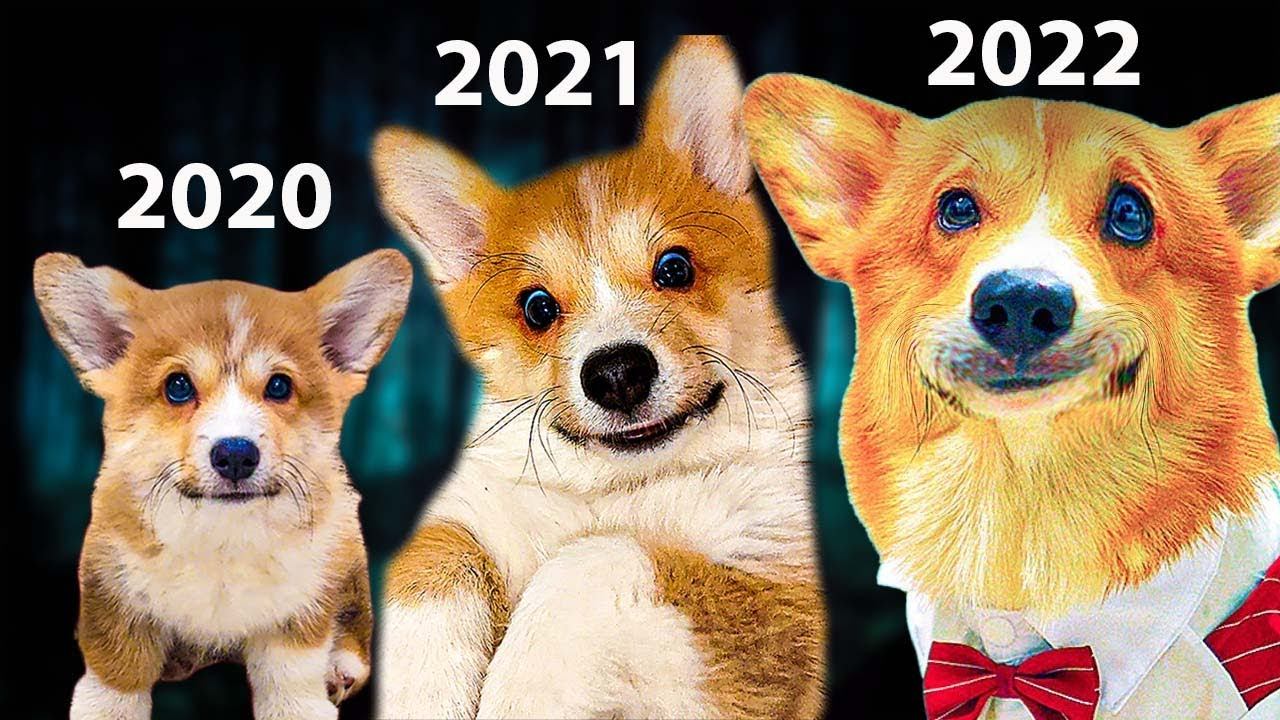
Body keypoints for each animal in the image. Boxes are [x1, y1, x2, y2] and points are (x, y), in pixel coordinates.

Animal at [33, 249, 412, 720]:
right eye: (178, 386)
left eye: (279, 386)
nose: (235, 455)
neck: (222, 533)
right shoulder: (113, 593)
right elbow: (115, 676)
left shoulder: (297, 612)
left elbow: (291, 685)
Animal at [370, 36, 826, 719]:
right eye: (537, 308)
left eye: (675, 268)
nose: (616, 373)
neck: (615, 490)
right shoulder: (470, 518)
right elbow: (430, 564)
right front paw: (423, 694)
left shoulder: (778, 604)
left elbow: (597, 558)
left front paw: (519, 692)